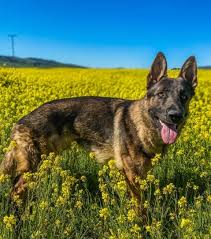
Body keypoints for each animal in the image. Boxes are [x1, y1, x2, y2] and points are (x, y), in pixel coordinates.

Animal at [0, 52, 198, 202]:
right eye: (161, 94)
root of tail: (20, 121)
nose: (175, 115)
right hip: (34, 166)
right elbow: (140, 209)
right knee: (15, 191)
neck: (144, 122)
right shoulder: (132, 177)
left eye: (184, 97)